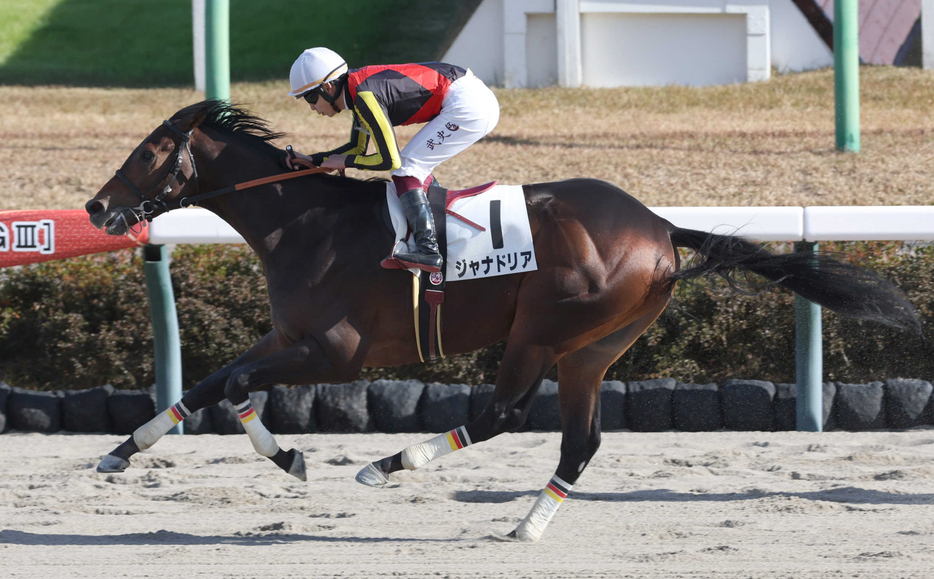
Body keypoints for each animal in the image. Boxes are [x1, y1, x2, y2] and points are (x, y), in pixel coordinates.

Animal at [86, 101, 920, 544]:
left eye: (149, 150)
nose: (96, 207)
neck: (306, 222)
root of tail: (660, 226)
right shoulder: (290, 336)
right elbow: (209, 382)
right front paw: (120, 451)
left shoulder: (336, 350)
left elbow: (237, 386)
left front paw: (290, 455)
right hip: (594, 347)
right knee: (580, 439)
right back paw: (527, 524)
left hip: (544, 329)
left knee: (504, 413)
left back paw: (393, 463)